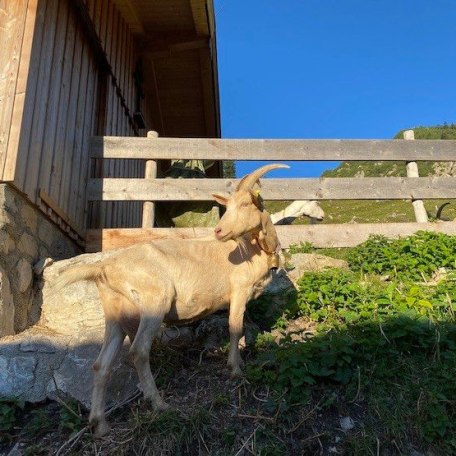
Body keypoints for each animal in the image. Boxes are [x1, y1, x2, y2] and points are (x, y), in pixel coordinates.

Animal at [54, 164, 288, 438]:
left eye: (244, 204)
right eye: (228, 205)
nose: (218, 231)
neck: (254, 248)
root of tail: (104, 267)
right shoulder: (239, 290)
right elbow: (234, 328)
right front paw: (236, 369)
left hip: (116, 313)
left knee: (101, 365)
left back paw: (100, 425)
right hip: (154, 302)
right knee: (138, 351)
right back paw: (159, 404)